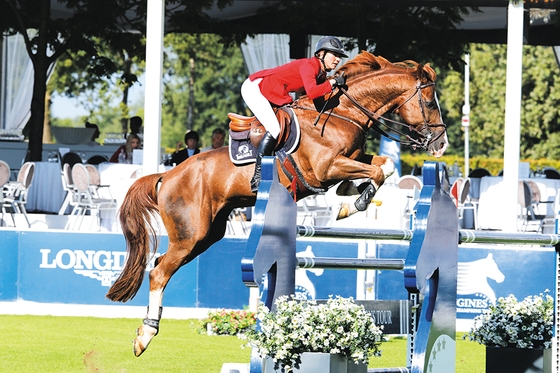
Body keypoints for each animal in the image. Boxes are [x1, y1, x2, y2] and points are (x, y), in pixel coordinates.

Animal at [104, 51, 446, 354]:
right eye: (430, 103)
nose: (441, 145)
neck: (341, 113)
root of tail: (168, 175)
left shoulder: (350, 159)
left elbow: (383, 165)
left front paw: (350, 195)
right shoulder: (325, 168)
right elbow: (376, 170)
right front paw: (354, 203)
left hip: (206, 235)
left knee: (161, 264)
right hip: (191, 233)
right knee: (159, 273)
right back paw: (145, 337)